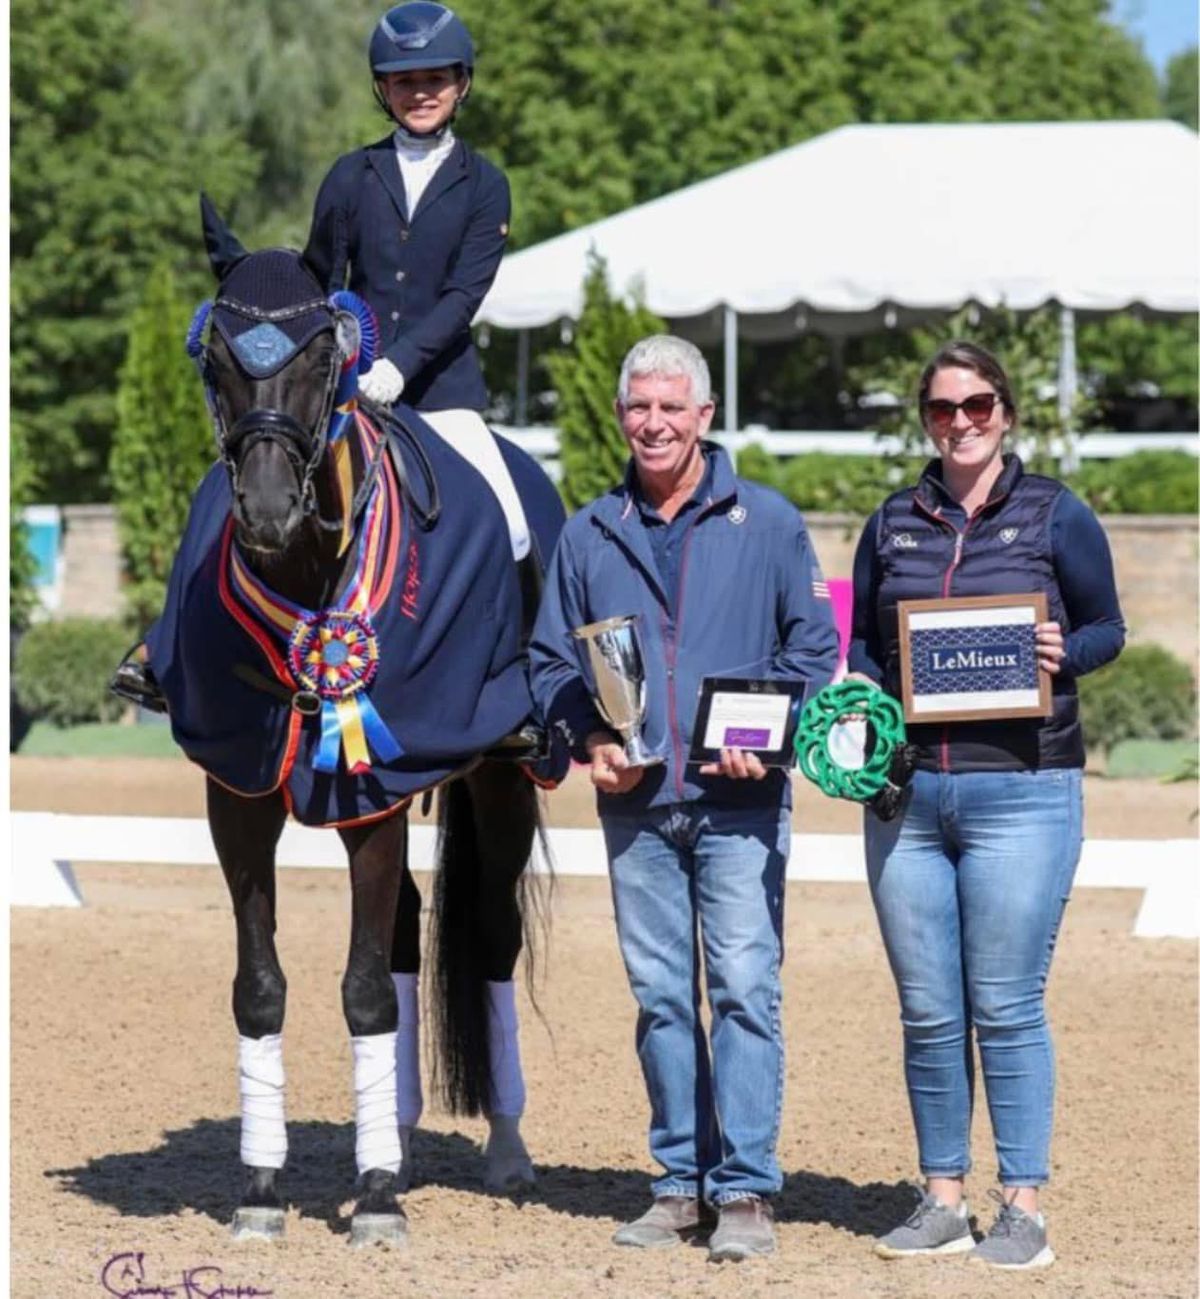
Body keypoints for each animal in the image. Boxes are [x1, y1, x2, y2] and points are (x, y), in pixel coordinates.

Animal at [119, 202, 568, 1247]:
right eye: (215, 356)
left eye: (326, 353)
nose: (268, 509)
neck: (308, 572)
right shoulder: (240, 795)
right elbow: (263, 986)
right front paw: (262, 1189)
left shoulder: (377, 793)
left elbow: (362, 990)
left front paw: (377, 1202)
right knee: (403, 932)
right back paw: (392, 1131)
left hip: (499, 778)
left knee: (488, 940)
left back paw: (504, 1149)